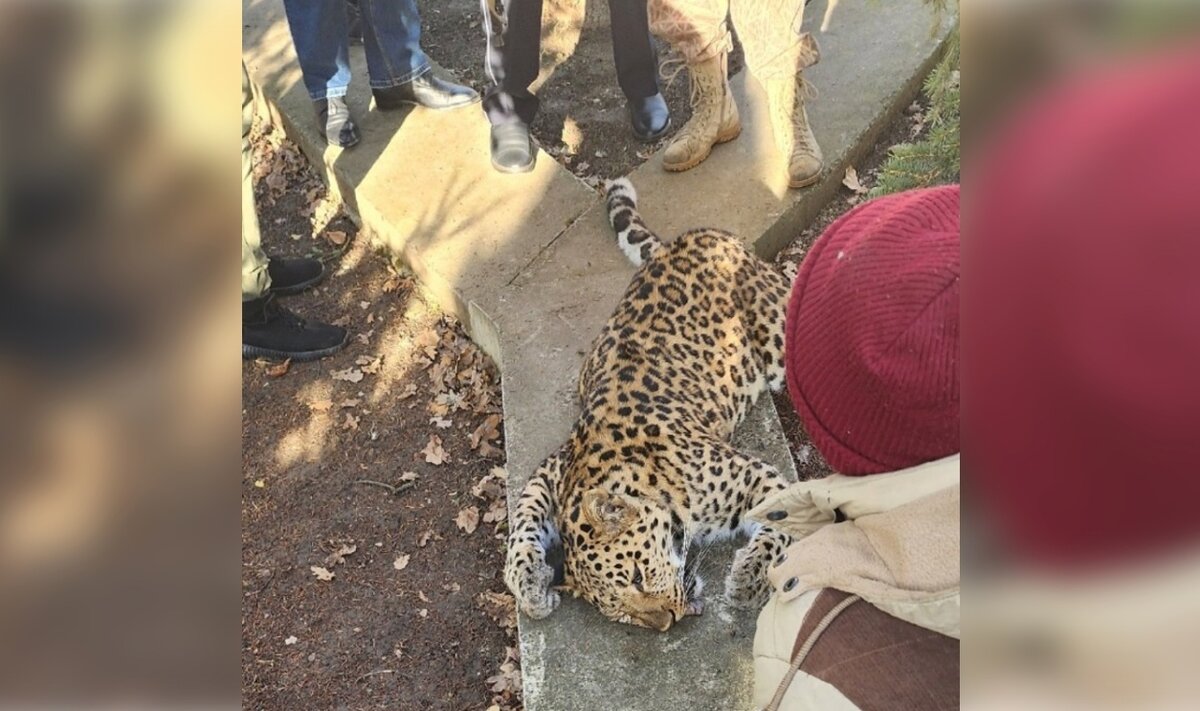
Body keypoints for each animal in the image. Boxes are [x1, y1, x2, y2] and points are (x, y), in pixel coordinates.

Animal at [501, 177, 792, 634]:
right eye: (622, 613)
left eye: (637, 576)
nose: (665, 622)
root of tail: (679, 242)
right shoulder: (555, 469)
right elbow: (524, 514)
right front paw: (529, 581)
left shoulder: (755, 477)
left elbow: (783, 517)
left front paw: (750, 577)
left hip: (778, 331)